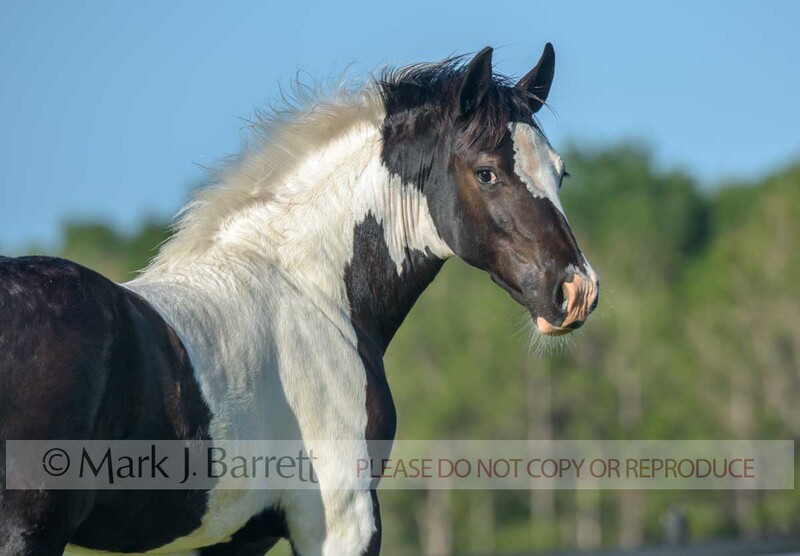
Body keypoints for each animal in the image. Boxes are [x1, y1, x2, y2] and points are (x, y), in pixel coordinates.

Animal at [0, 44, 598, 555]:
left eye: (561, 172)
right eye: (487, 172)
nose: (577, 290)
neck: (310, 291)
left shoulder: (235, 539)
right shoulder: (340, 522)